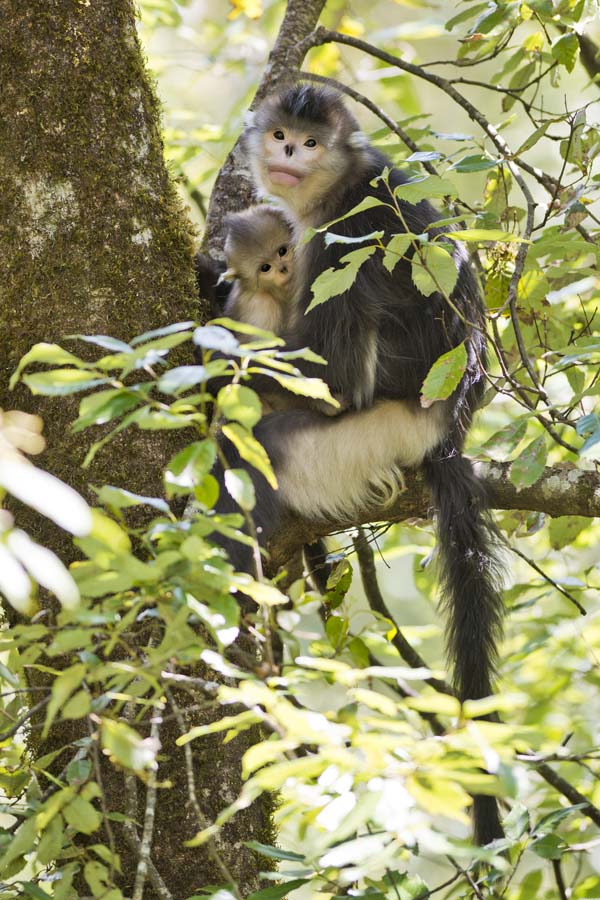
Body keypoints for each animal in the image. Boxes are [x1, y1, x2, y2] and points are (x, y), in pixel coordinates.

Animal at [213, 84, 504, 844]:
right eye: (281, 134)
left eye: (311, 143)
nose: (288, 151)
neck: (338, 186)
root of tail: (445, 432)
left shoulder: (342, 241)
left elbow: (334, 378)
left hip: (357, 443)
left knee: (257, 442)